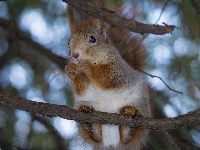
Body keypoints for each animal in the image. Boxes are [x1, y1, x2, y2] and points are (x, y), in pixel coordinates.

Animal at [65, 4, 151, 150]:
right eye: (68, 43)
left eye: (92, 39)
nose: (74, 55)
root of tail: (112, 144)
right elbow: (82, 89)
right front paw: (71, 70)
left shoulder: (119, 71)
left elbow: (110, 80)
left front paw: (88, 67)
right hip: (82, 105)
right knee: (96, 136)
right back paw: (88, 116)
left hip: (139, 102)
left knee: (129, 136)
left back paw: (130, 113)